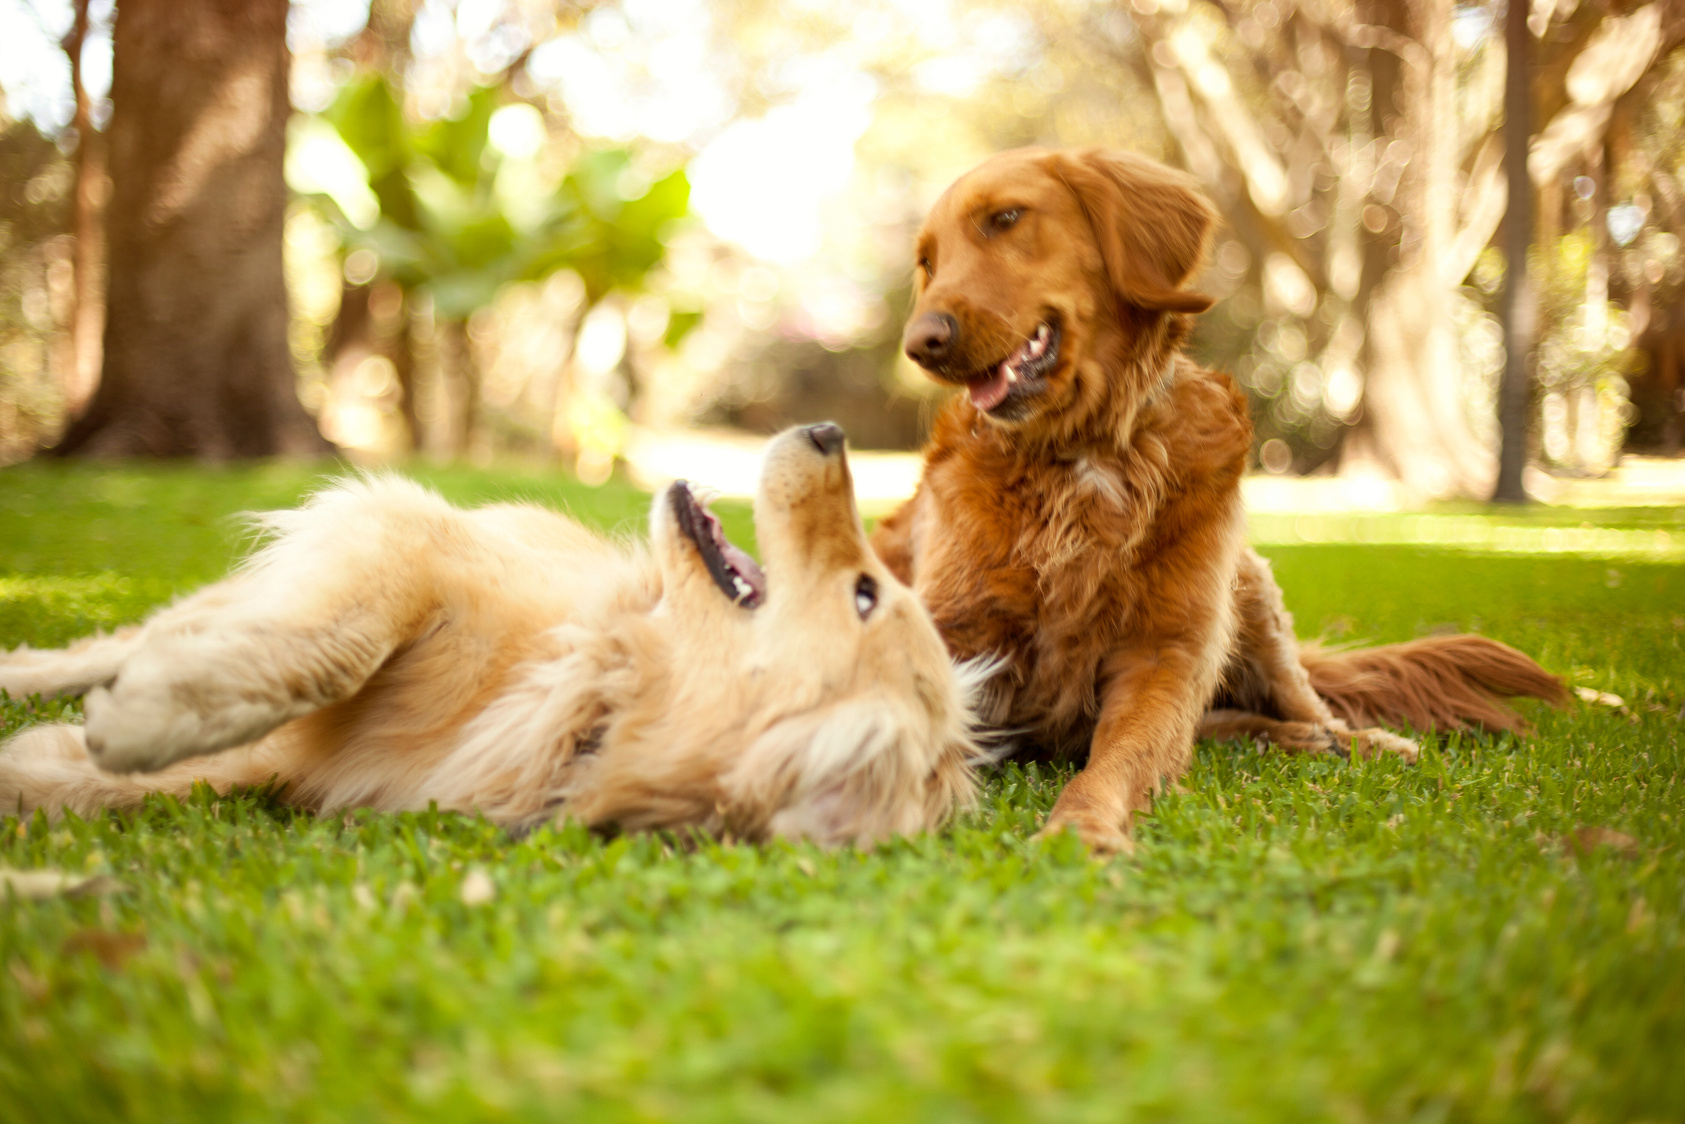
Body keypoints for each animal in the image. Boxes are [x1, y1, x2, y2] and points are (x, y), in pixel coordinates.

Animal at [0, 426, 984, 849]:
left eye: (866, 593)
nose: (828, 428)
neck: (595, 692)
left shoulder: (296, 764)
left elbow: (128, 782)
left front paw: (64, 760)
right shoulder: (405, 539)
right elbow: (333, 650)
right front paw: (146, 719)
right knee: (122, 641)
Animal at [869, 147, 1563, 852]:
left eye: (1005, 218)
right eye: (928, 262)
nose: (920, 343)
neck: (1085, 454)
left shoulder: (1165, 653)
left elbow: (1117, 761)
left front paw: (1080, 829)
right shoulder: (951, 633)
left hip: (1249, 593)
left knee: (1301, 704)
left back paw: (1354, 740)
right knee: (1223, 725)